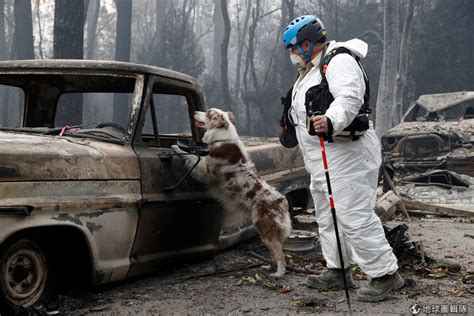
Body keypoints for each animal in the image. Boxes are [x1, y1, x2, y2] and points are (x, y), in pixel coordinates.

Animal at [172, 110, 290, 278]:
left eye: (207, 113)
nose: (194, 112)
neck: (222, 136)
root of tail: (281, 200)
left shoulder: (206, 171)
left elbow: (192, 156)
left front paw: (176, 146)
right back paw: (269, 267)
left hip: (265, 230)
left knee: (281, 255)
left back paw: (278, 273)